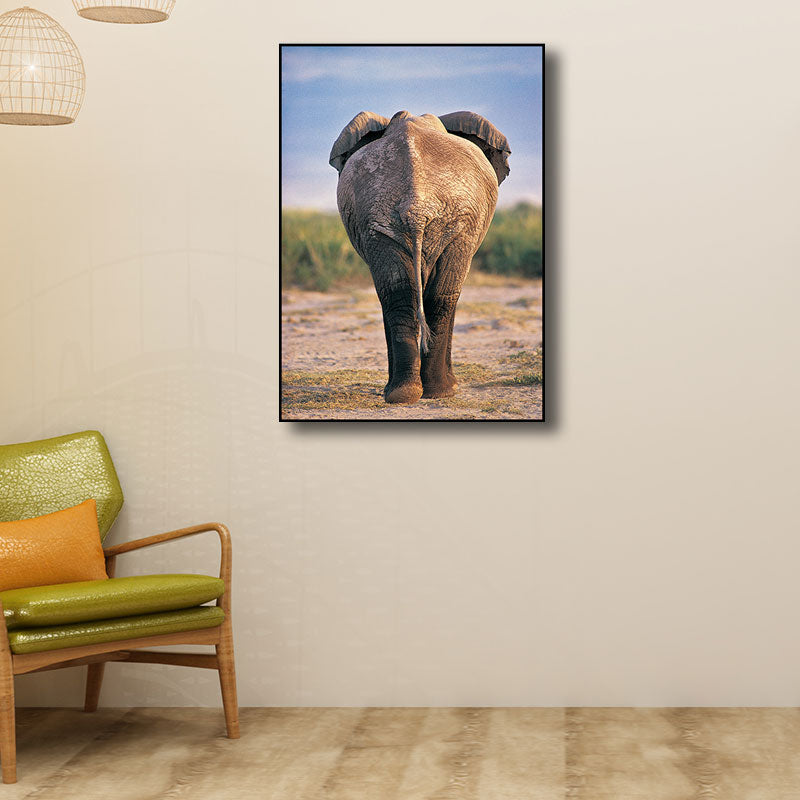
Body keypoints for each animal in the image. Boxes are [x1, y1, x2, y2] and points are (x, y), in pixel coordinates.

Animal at [329, 109, 510, 404]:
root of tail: (417, 206)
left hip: (387, 222)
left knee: (399, 293)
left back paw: (405, 394)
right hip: (447, 224)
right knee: (441, 293)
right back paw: (440, 391)